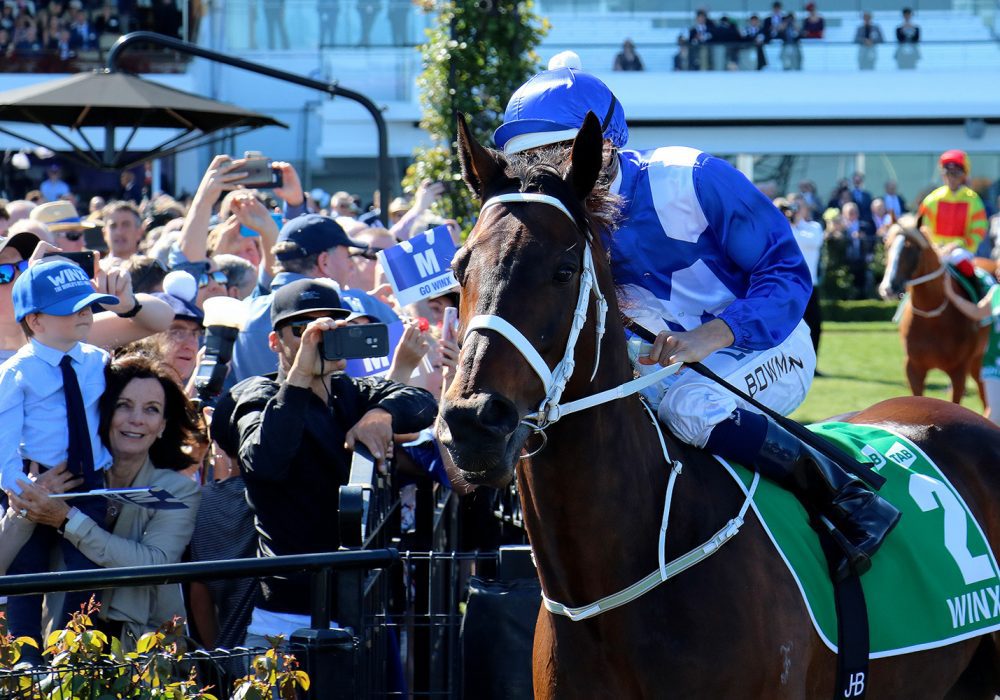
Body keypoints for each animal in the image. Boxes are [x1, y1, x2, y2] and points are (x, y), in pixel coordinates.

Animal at [877, 219, 987, 406]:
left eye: (912, 248)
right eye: (888, 245)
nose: (888, 288)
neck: (932, 318)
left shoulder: (958, 370)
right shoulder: (913, 368)